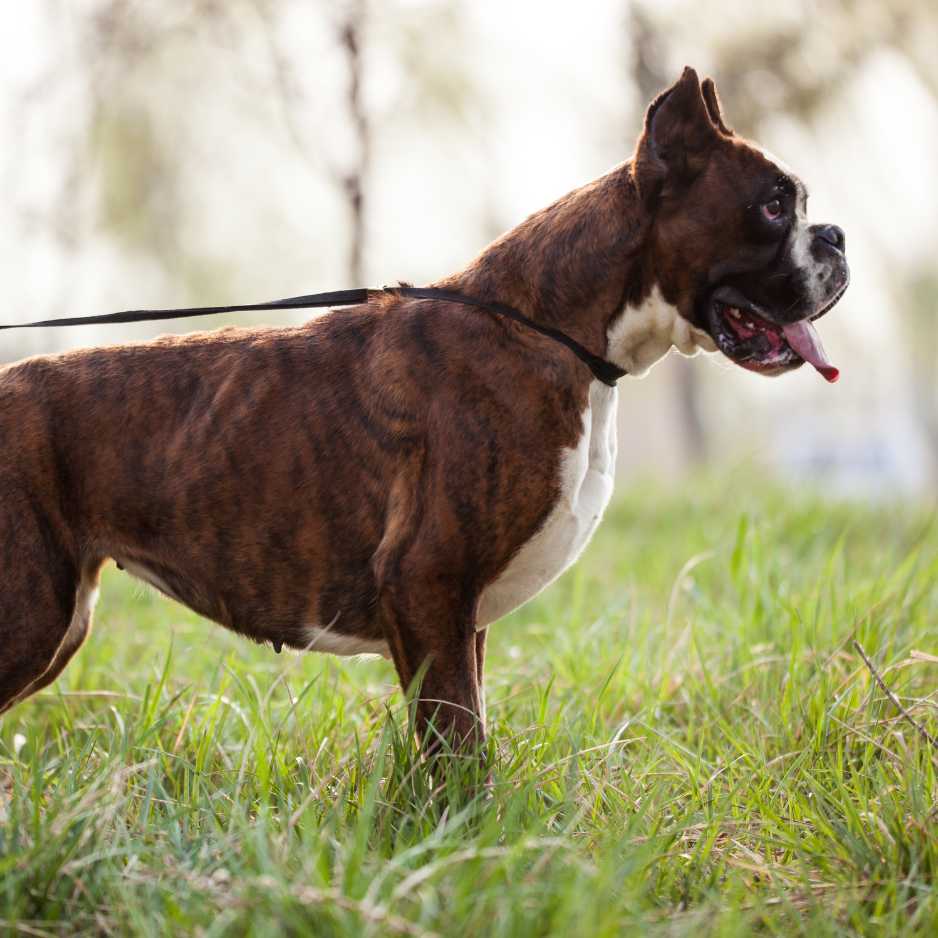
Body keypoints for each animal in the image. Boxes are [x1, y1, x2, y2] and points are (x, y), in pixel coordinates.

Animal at [0, 67, 848, 752]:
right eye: (774, 207)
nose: (837, 237)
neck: (547, 330)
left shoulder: (459, 621)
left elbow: (465, 733)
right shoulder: (427, 584)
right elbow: (461, 751)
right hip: (32, 614)